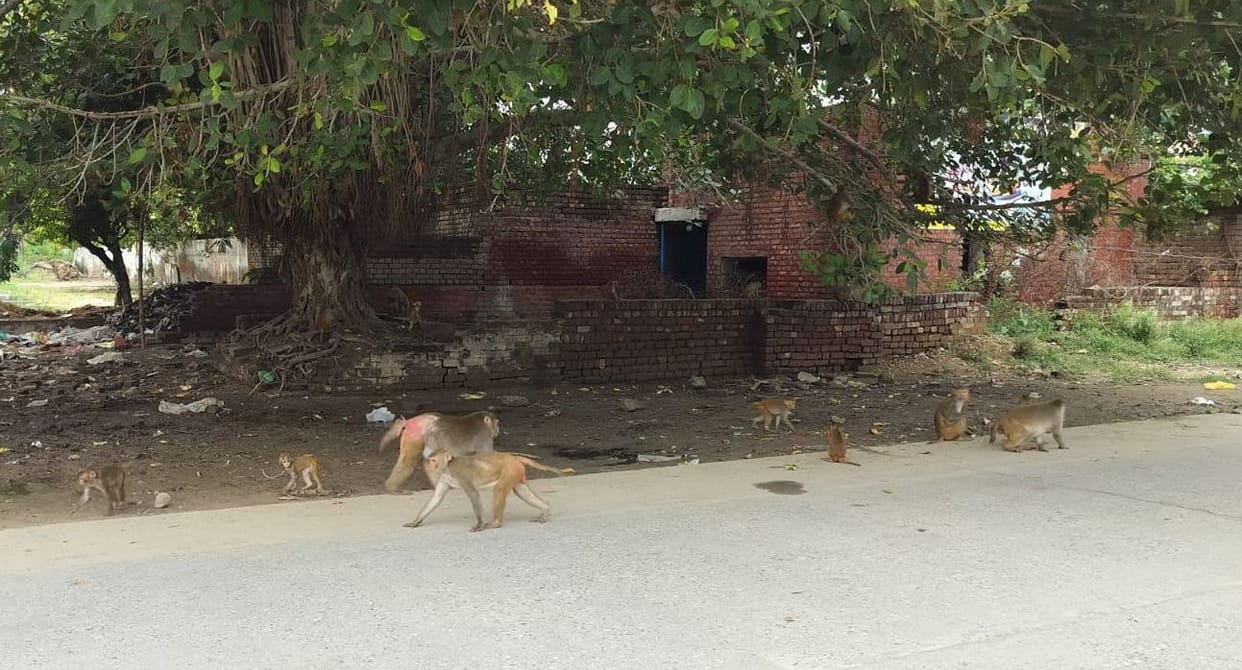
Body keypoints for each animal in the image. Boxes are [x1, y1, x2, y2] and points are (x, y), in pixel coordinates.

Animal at [404, 450, 571, 531]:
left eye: (433, 460)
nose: (429, 465)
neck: (448, 466)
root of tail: (514, 458)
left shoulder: (460, 473)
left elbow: (473, 494)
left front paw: (479, 524)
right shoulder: (444, 478)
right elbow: (437, 498)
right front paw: (415, 522)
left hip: (509, 470)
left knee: (499, 491)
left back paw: (496, 523)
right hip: (516, 473)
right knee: (522, 493)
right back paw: (545, 509)